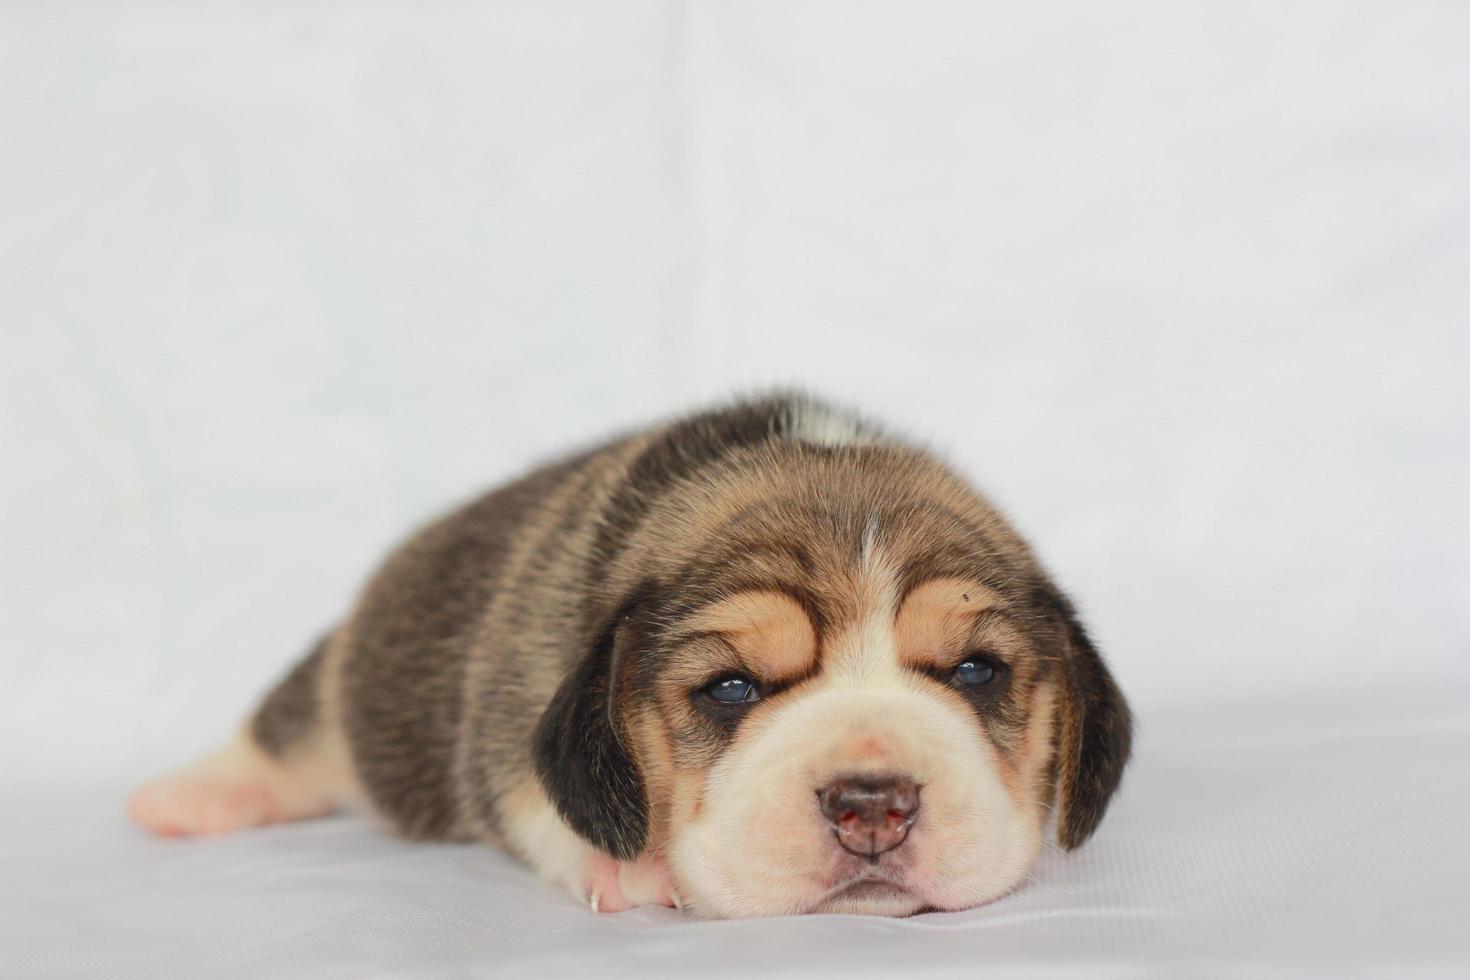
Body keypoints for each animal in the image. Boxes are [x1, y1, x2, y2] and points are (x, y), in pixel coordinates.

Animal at [129, 393, 1134, 916]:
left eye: (975, 672)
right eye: (730, 688)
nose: (872, 807)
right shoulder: (512, 707)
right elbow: (531, 794)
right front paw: (630, 865)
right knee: (287, 731)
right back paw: (195, 795)